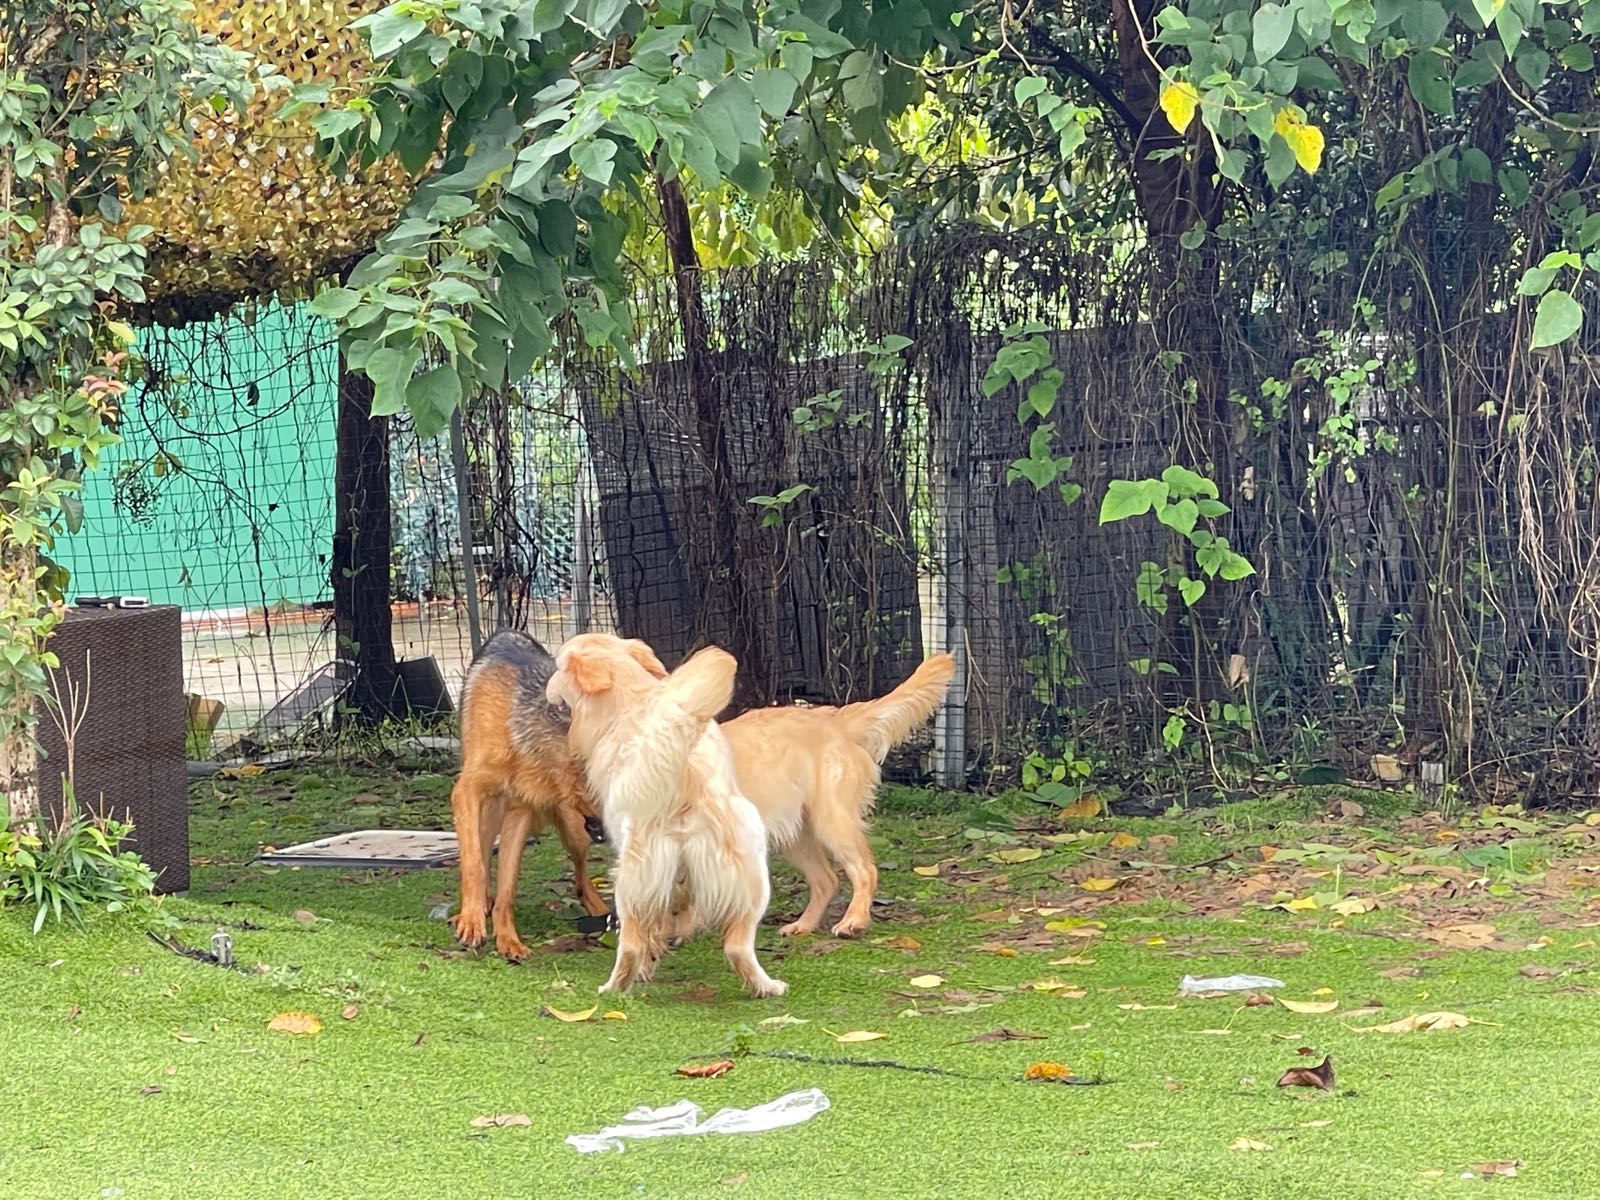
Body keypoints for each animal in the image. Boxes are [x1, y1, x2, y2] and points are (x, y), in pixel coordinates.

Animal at [451, 630, 611, 960]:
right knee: (481, 852)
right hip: (487, 815)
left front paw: (507, 939)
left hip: (574, 833)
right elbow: (475, 866)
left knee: (581, 876)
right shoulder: (467, 791)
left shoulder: (520, 811)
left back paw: (600, 910)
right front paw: (472, 922)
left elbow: (508, 886)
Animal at [544, 633, 787, 998]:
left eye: (558, 667)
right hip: (752, 874)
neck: (630, 693)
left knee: (633, 943)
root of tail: (687, 783)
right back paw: (767, 986)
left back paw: (619, 984)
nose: (547, 685)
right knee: (736, 946)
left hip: (634, 883)